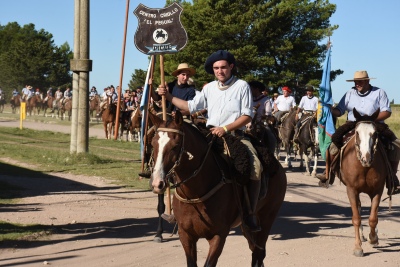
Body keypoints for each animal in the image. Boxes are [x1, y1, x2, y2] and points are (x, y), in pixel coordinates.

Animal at [148, 111, 286, 266]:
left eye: (175, 145)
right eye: (153, 144)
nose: (157, 183)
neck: (196, 193)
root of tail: (277, 167)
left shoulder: (218, 236)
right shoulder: (185, 235)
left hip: (267, 218)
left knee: (259, 252)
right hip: (246, 227)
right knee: (255, 251)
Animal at [328, 109, 388, 258]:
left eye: (375, 133)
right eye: (357, 132)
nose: (366, 158)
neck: (364, 167)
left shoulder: (378, 190)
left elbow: (373, 218)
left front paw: (374, 238)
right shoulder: (351, 190)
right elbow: (356, 218)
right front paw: (357, 247)